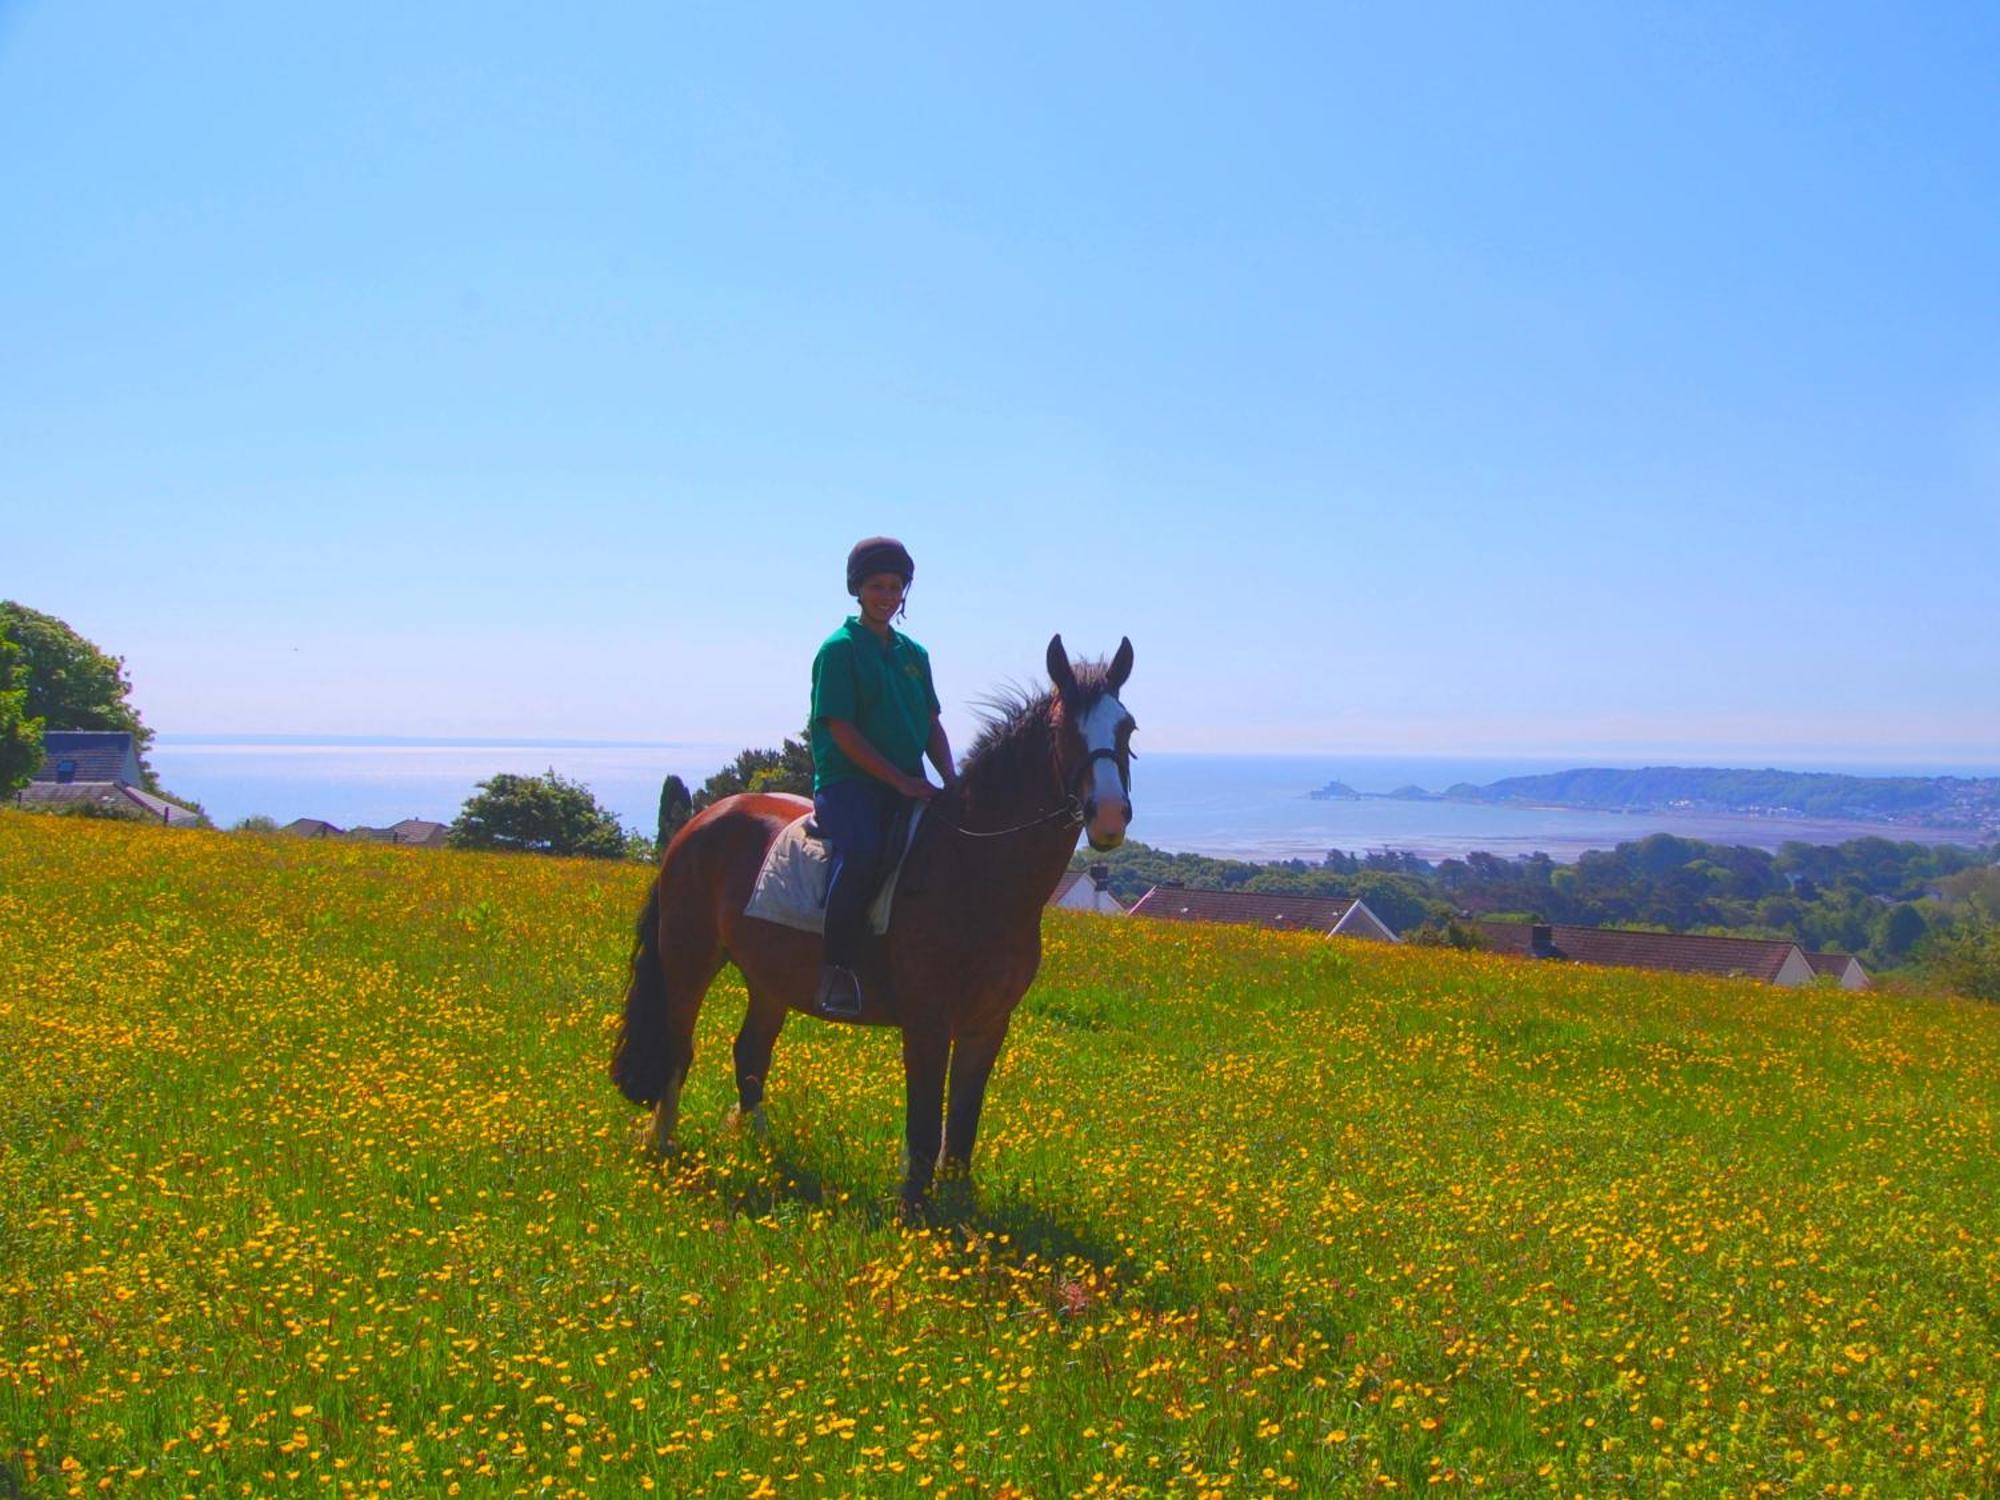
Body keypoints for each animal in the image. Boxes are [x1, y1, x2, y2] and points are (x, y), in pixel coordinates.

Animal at [608, 632, 1144, 1208]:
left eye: (1127, 728)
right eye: (1063, 730)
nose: (1109, 817)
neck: (973, 867)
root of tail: (698, 824)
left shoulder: (987, 1025)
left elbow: (963, 1124)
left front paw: (959, 1207)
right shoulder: (928, 1021)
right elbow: (926, 1121)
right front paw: (914, 1206)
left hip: (769, 979)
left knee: (750, 1055)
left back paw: (763, 1154)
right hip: (688, 960)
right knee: (678, 1048)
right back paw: (663, 1142)